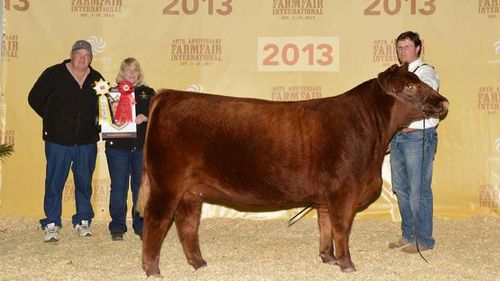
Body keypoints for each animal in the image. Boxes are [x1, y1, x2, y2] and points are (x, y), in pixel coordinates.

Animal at [136, 63, 450, 276]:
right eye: (410, 86)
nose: (443, 101)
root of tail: (167, 95)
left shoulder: (326, 196)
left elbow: (325, 225)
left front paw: (328, 258)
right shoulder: (344, 190)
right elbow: (342, 227)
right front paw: (347, 264)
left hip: (192, 191)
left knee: (187, 223)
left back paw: (198, 263)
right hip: (167, 182)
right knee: (156, 220)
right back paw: (152, 269)